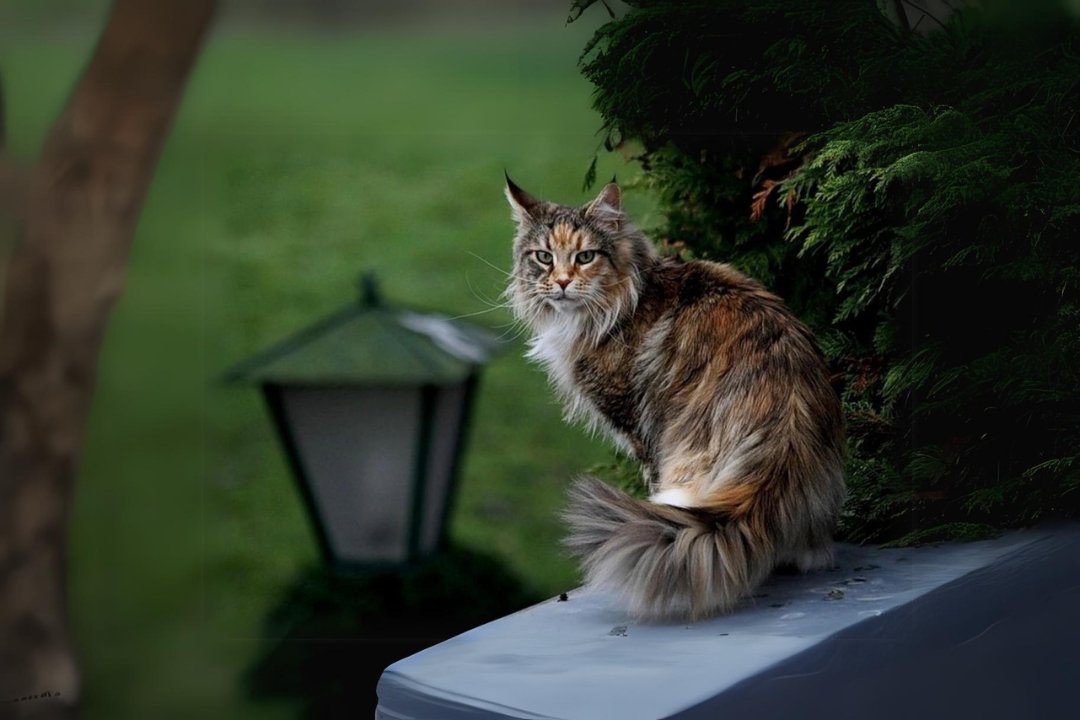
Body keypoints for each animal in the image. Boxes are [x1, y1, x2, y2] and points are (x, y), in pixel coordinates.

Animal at [501, 177, 846, 621]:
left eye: (585, 256)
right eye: (543, 257)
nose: (560, 282)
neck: (625, 301)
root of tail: (784, 441)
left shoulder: (635, 424)